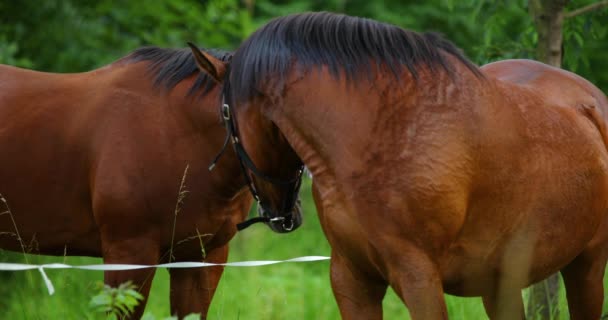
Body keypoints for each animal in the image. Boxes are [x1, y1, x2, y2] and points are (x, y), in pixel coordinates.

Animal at [192, 11, 608, 320]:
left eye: (224, 117)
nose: (279, 214)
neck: (382, 134)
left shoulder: (418, 278)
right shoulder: (352, 278)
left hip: (586, 265)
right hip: (501, 282)